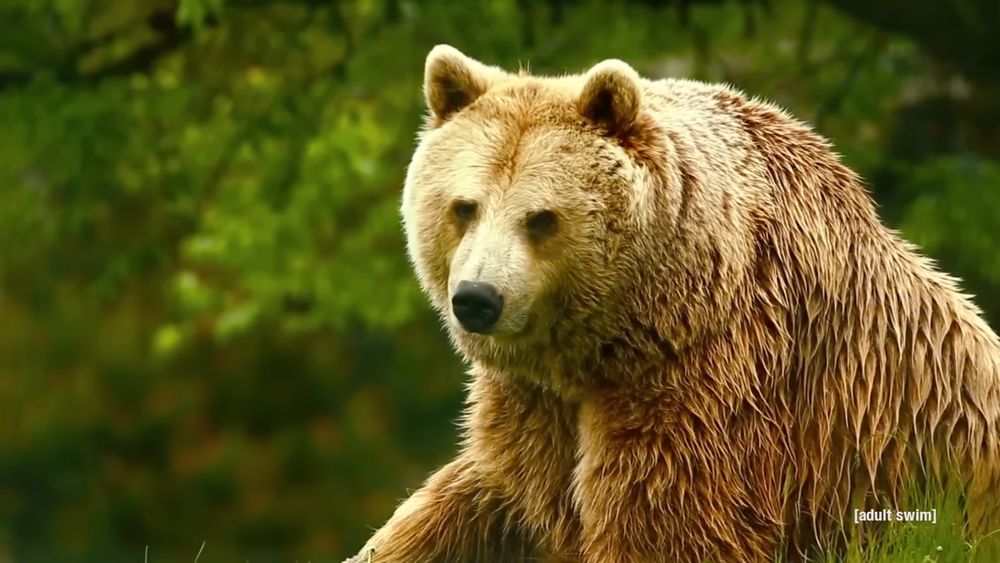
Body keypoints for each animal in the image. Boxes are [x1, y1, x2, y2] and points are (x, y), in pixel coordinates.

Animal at [344, 45, 1000, 562]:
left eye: (541, 218)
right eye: (465, 206)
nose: (477, 299)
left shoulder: (714, 378)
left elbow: (666, 521)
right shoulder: (536, 406)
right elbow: (482, 497)